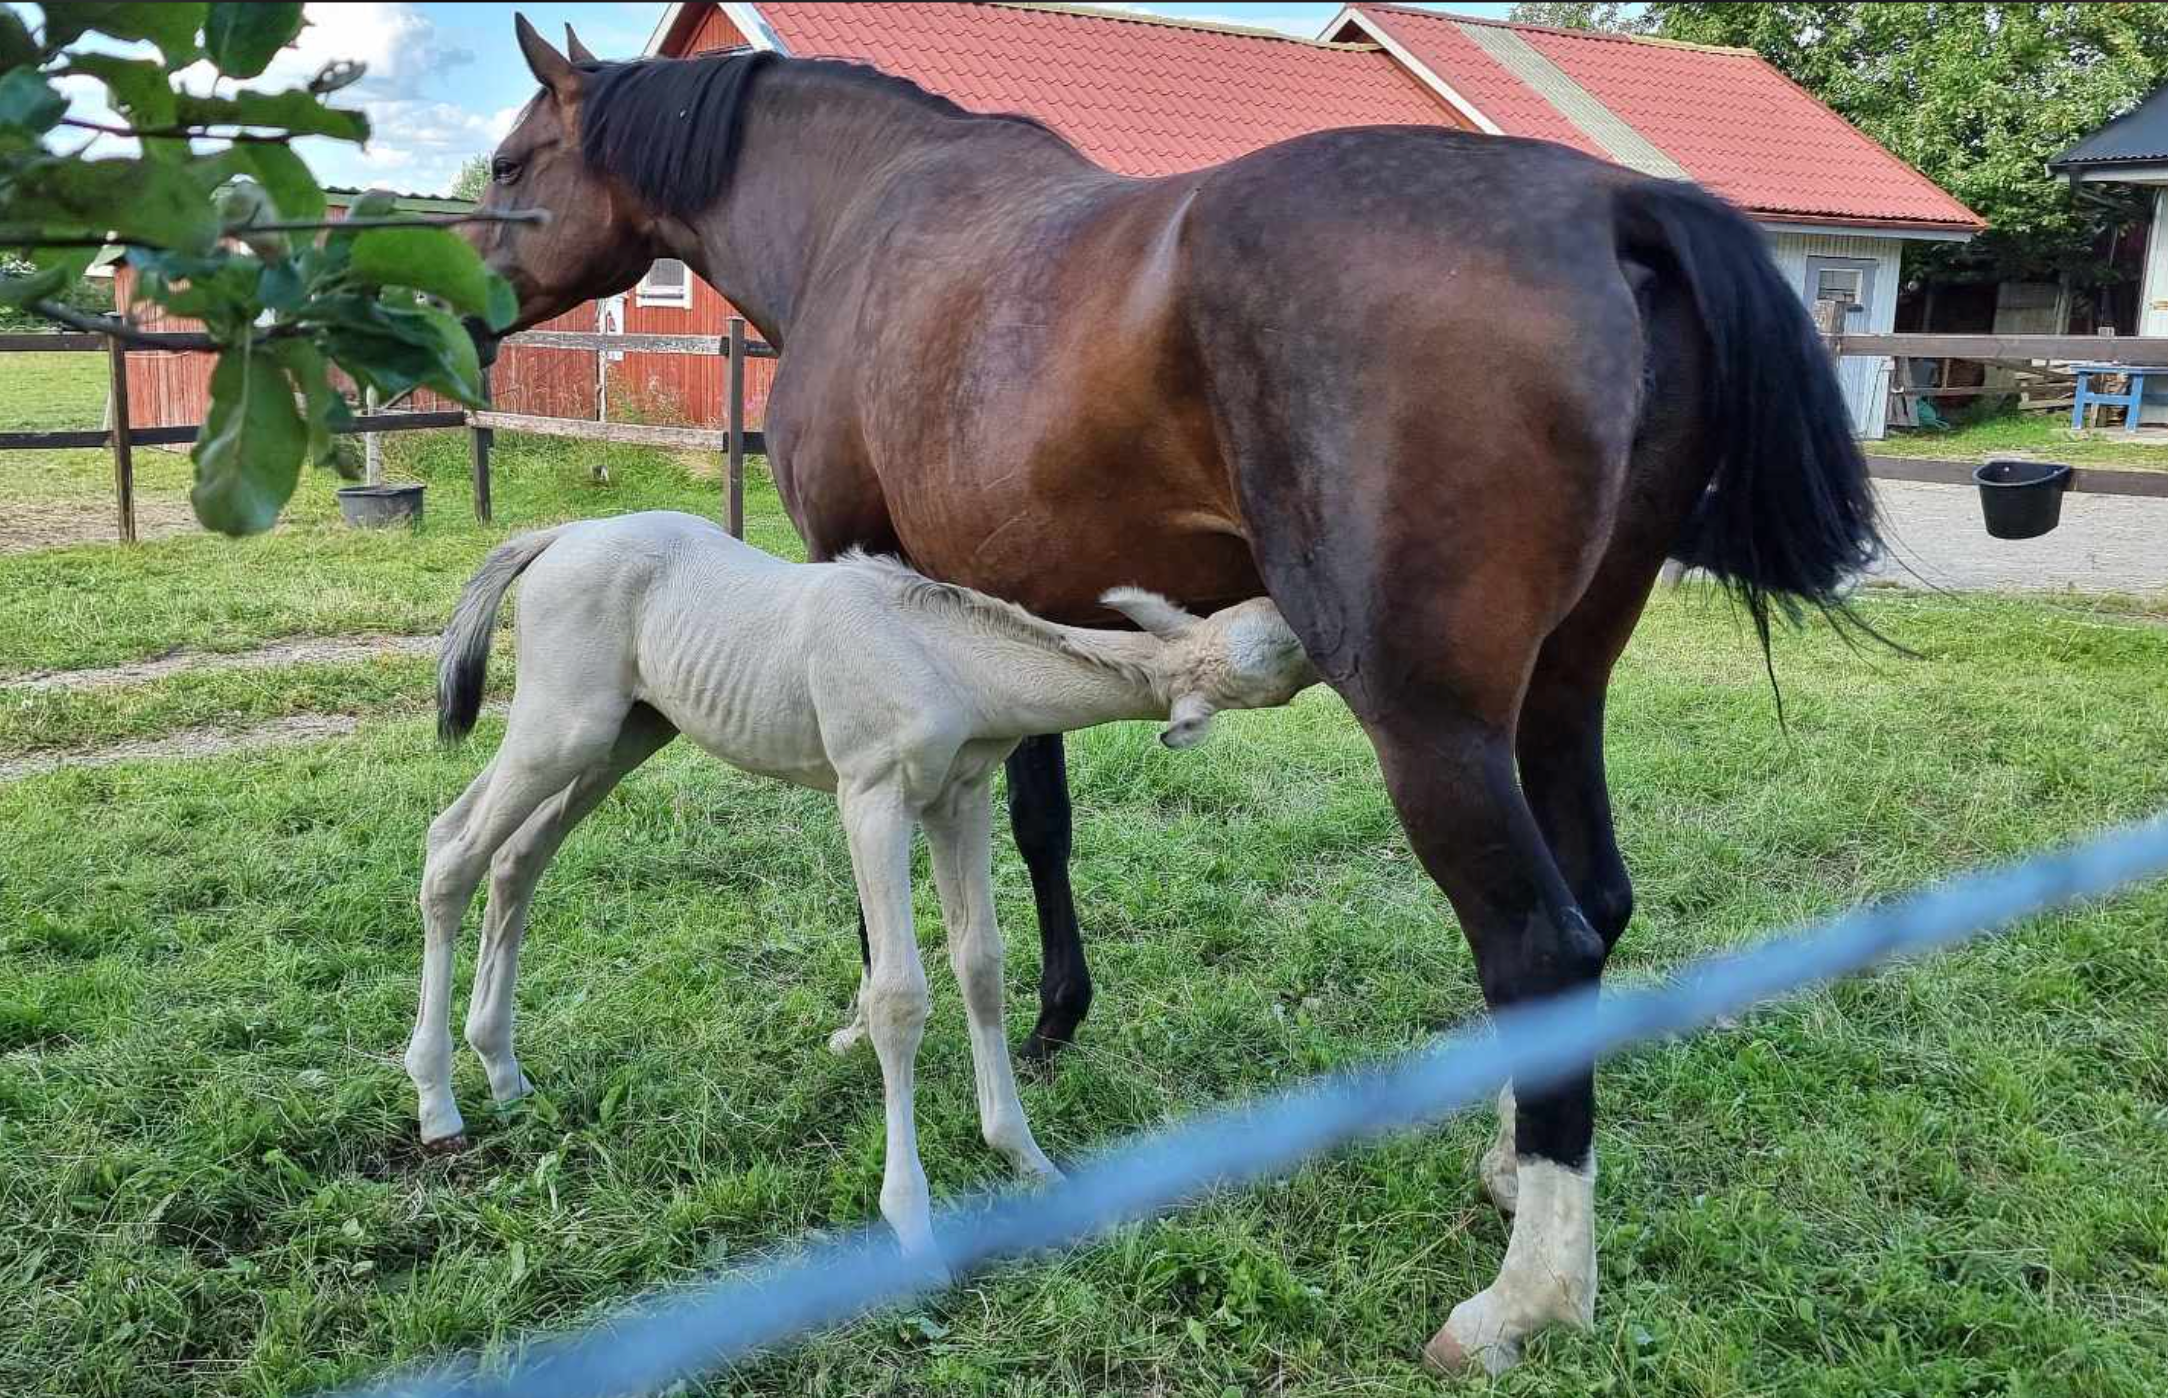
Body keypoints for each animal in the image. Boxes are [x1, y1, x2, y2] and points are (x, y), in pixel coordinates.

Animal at [412, 509, 1317, 1261]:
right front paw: (911, 1222)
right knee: (451, 849)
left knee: (518, 858)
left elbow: (981, 965)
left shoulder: (959, 800)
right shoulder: (872, 797)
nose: (1321, 615)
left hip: (627, 733)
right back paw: (438, 1103)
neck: (943, 656)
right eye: (1279, 642)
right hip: (559, 728)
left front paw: (1024, 1155)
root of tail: (558, 537)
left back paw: (503, 1072)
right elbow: (898, 997)